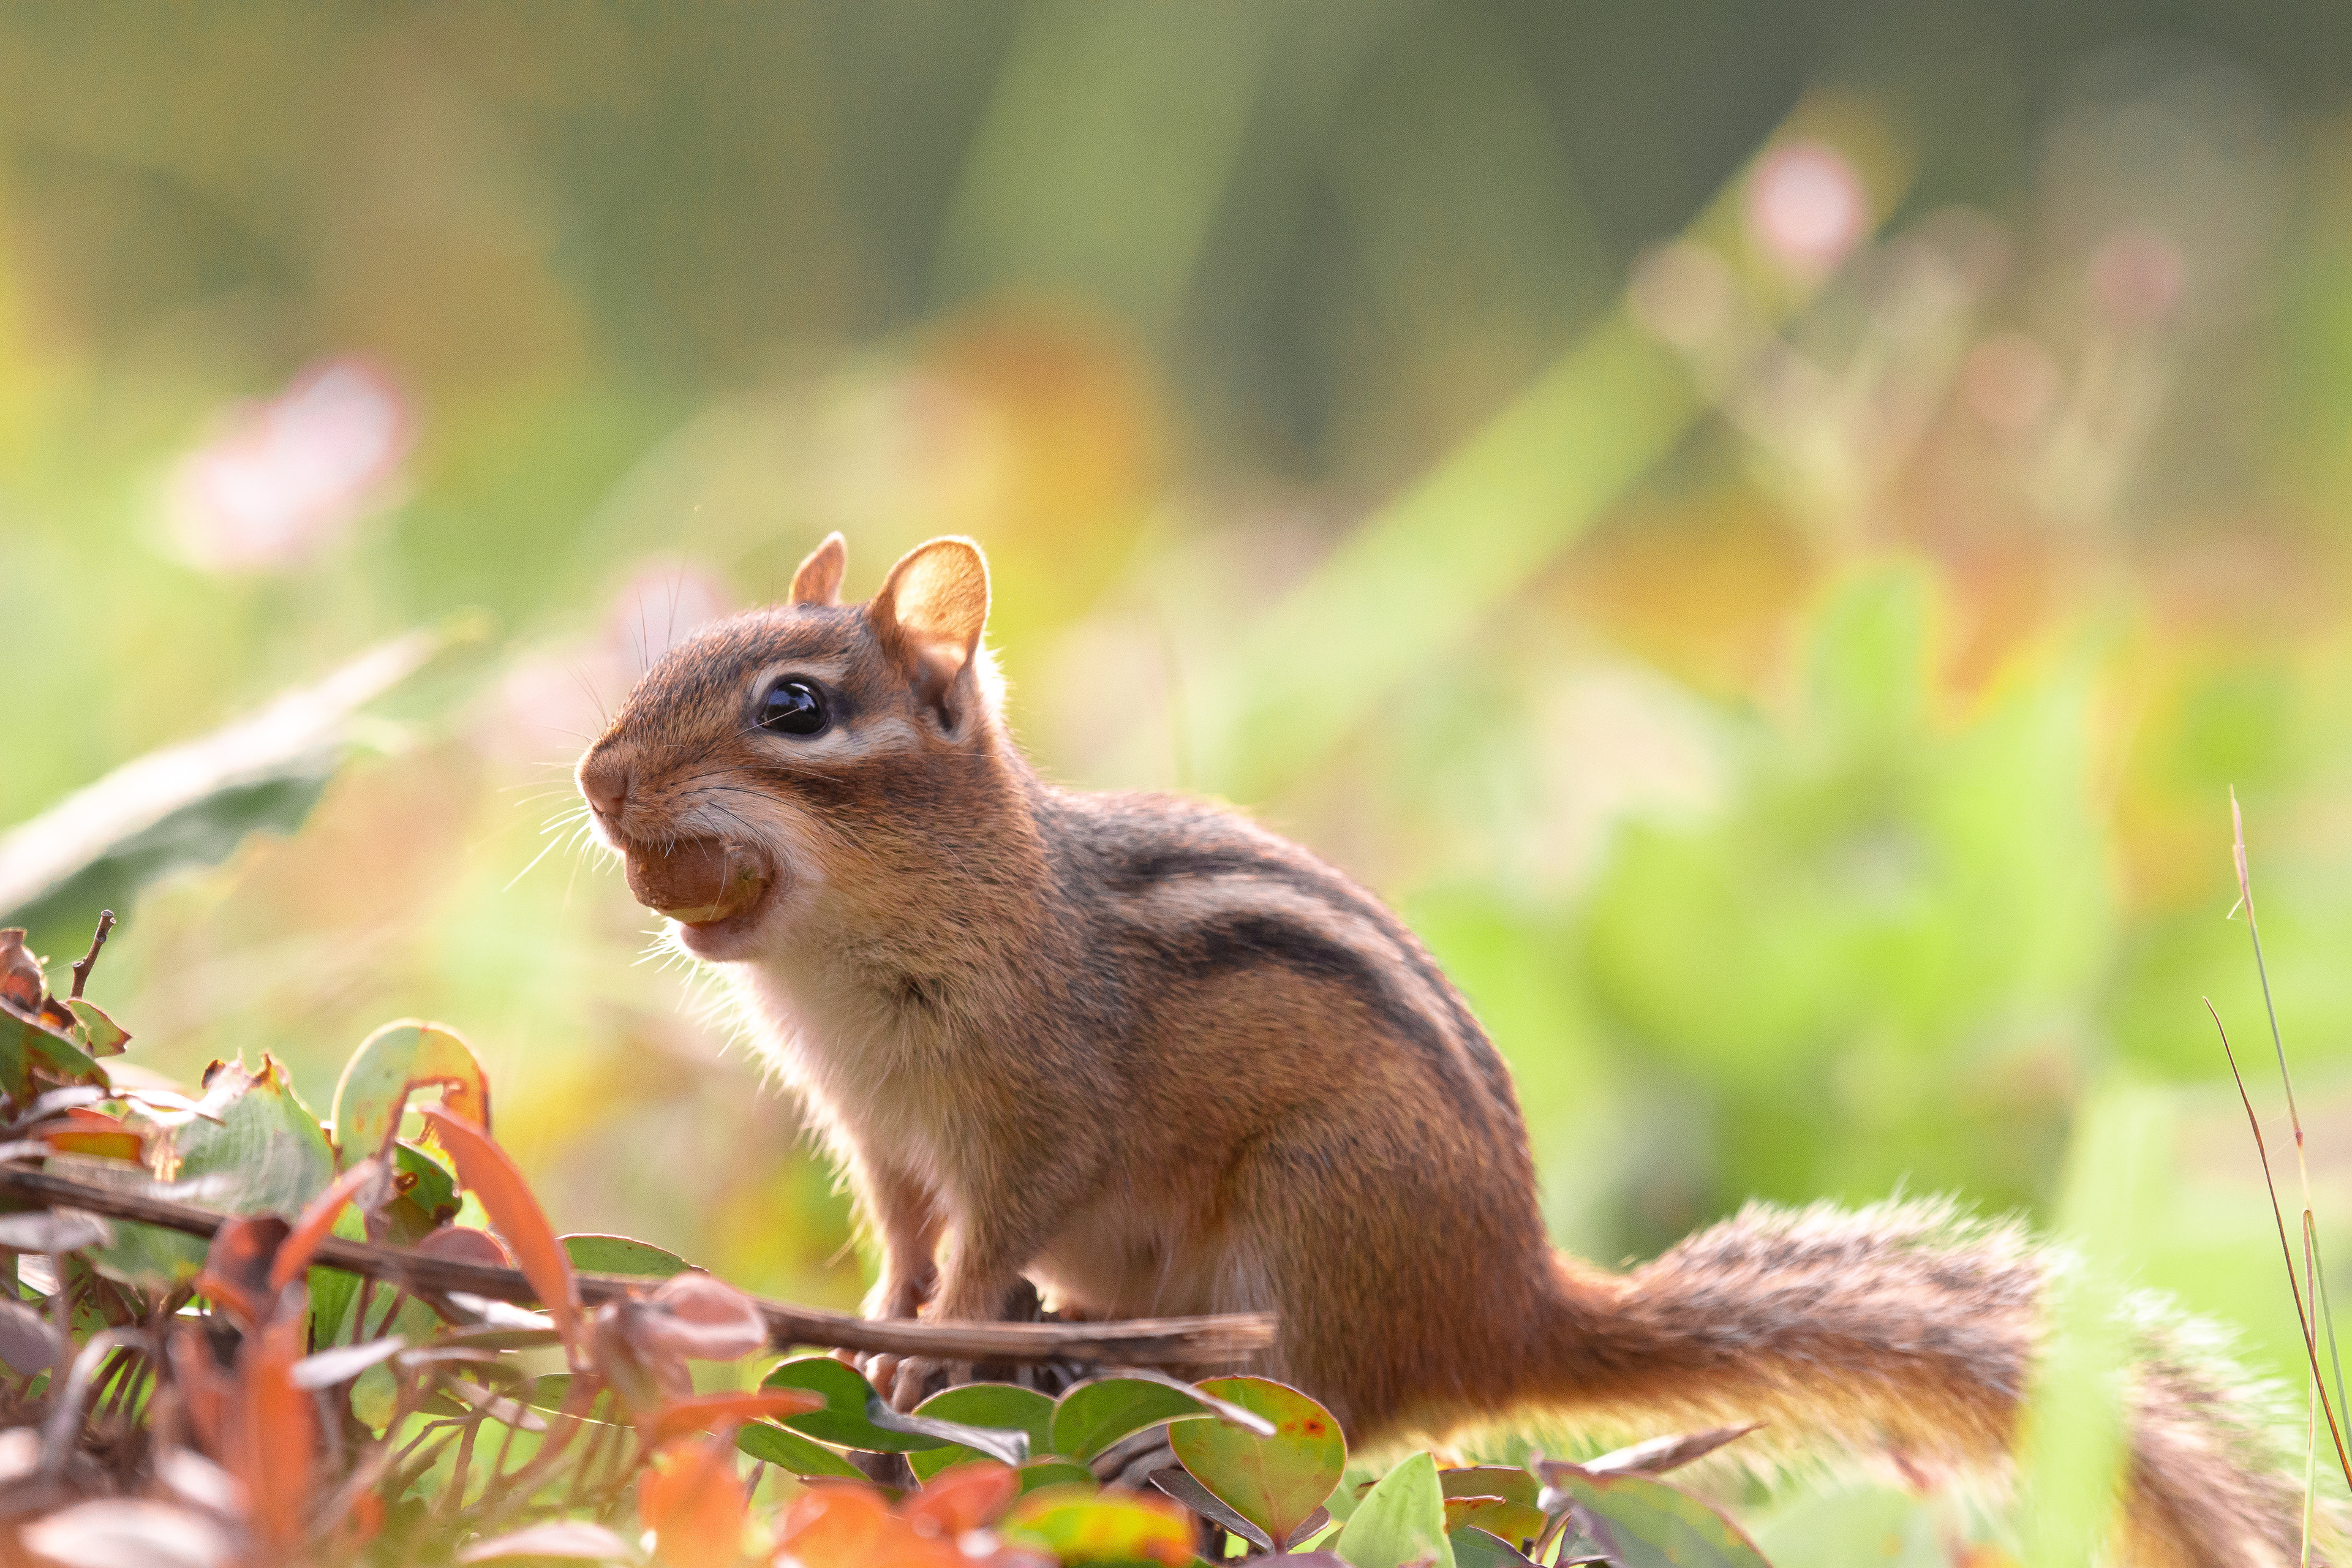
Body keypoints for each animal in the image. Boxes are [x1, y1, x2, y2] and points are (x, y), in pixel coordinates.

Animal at [578, 532, 2311, 1566]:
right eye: (675, 661)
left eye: (793, 705)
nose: (598, 775)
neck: (853, 967)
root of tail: (1513, 1300)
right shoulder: (879, 1138)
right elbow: (904, 1241)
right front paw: (882, 1323)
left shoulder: (1032, 1112)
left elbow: (990, 1233)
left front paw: (928, 1349)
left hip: (1309, 1223)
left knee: (1318, 1415)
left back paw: (1143, 1425)